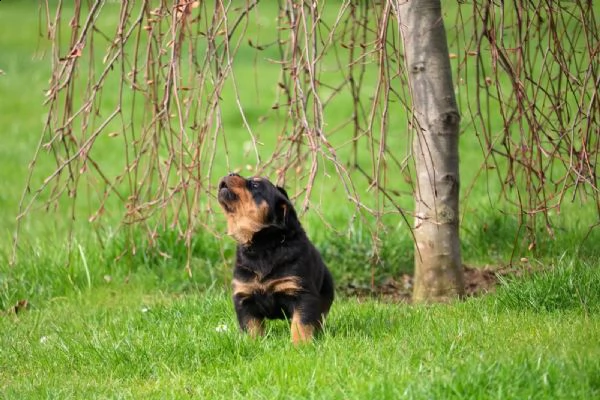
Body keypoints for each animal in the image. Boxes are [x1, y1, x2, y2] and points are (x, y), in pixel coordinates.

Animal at [218, 173, 336, 344]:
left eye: (255, 185)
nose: (230, 173)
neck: (263, 246)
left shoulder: (303, 294)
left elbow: (301, 323)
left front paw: (300, 345)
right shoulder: (244, 296)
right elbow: (250, 327)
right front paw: (252, 344)